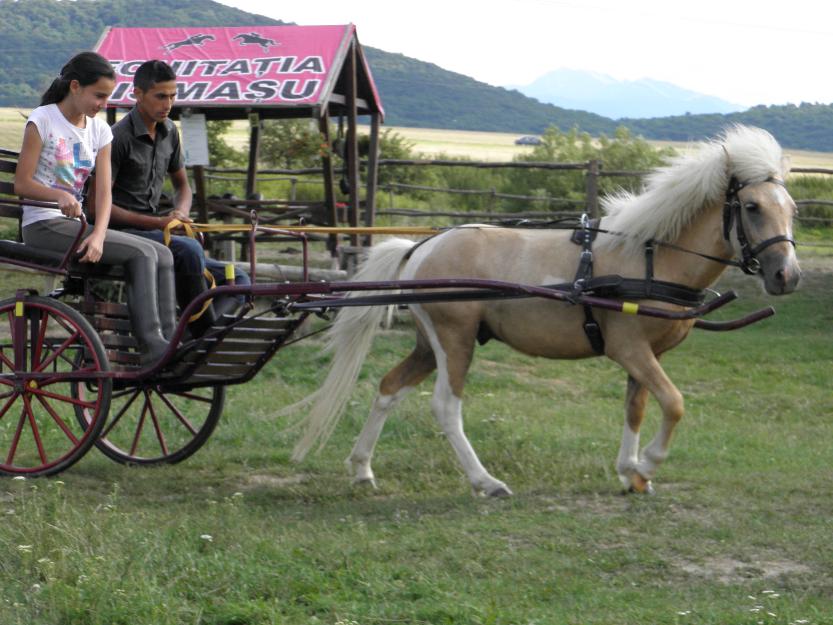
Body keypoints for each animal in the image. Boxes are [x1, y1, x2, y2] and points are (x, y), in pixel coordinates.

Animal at [288, 124, 800, 494]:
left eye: (792, 208)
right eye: (752, 207)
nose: (787, 276)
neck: (651, 257)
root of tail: (422, 247)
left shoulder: (645, 356)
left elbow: (635, 409)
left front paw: (629, 470)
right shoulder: (630, 350)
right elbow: (674, 404)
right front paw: (647, 465)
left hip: (429, 345)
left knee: (389, 389)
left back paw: (362, 468)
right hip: (454, 341)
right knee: (446, 407)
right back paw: (485, 482)